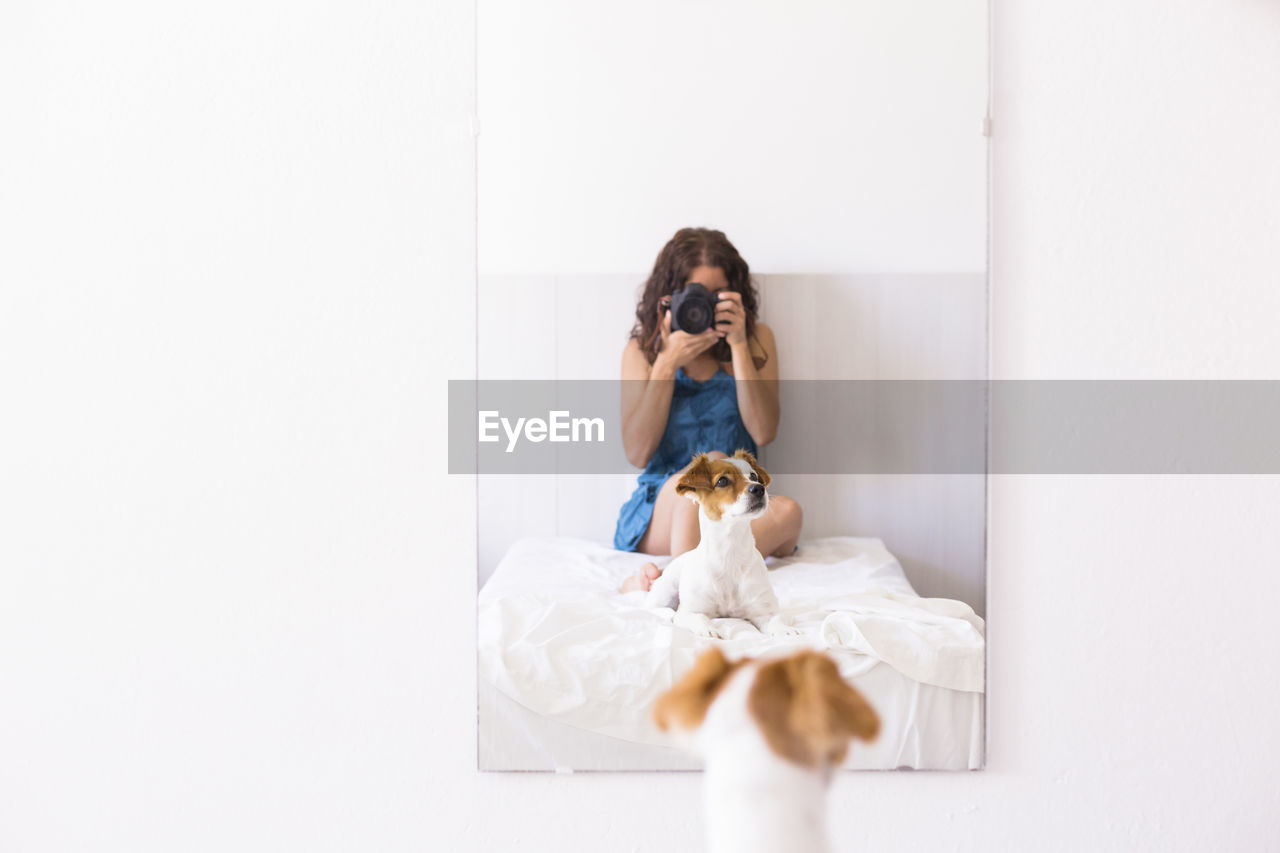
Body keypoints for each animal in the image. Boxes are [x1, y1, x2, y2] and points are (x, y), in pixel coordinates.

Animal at [645, 448, 793, 635]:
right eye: (722, 481)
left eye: (753, 476)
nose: (759, 488)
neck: (730, 551)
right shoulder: (689, 612)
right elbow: (698, 618)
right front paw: (708, 629)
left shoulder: (763, 611)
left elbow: (776, 621)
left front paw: (785, 630)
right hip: (664, 591)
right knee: (651, 609)